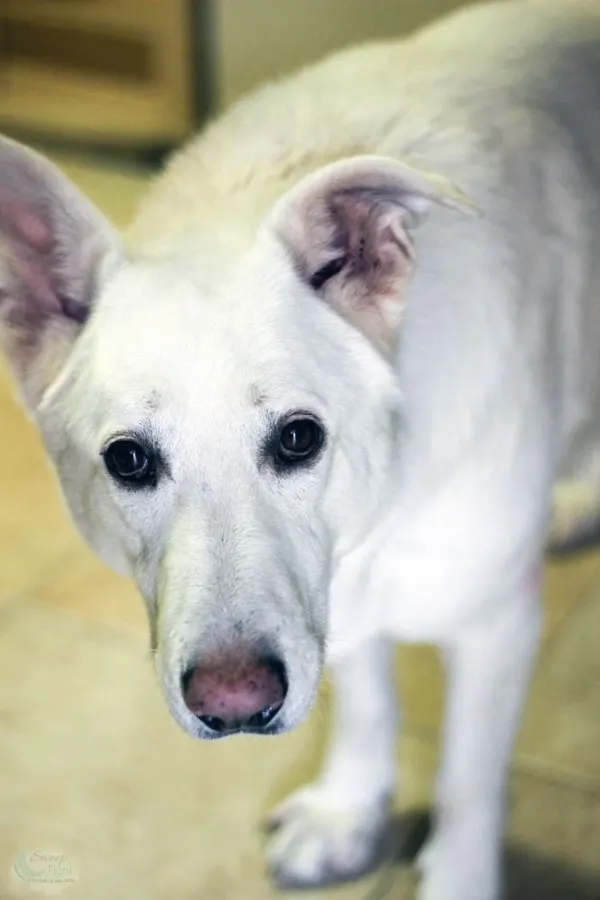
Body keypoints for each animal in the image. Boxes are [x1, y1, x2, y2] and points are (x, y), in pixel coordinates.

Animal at [1, 0, 600, 896]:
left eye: (298, 438)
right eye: (128, 460)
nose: (235, 705)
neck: (391, 498)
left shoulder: (495, 626)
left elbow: (467, 782)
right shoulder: (333, 595)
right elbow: (369, 702)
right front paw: (348, 812)